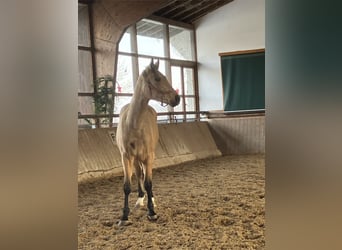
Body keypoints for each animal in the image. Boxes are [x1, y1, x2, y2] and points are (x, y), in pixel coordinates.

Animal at [115, 59, 180, 227]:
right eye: (157, 78)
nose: (177, 98)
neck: (134, 125)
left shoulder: (149, 156)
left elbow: (149, 183)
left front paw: (152, 212)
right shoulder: (126, 157)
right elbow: (127, 186)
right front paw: (124, 216)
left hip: (145, 157)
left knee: (146, 177)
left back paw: (150, 199)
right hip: (136, 159)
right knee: (139, 175)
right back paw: (140, 199)